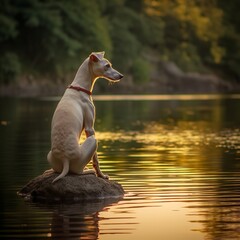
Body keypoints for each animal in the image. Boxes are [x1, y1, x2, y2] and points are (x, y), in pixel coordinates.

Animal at [46, 52, 123, 182]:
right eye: (107, 66)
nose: (121, 76)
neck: (79, 87)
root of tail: (65, 159)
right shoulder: (90, 128)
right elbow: (96, 160)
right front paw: (102, 175)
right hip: (93, 140)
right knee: (78, 171)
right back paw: (89, 171)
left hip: (50, 156)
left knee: (58, 170)